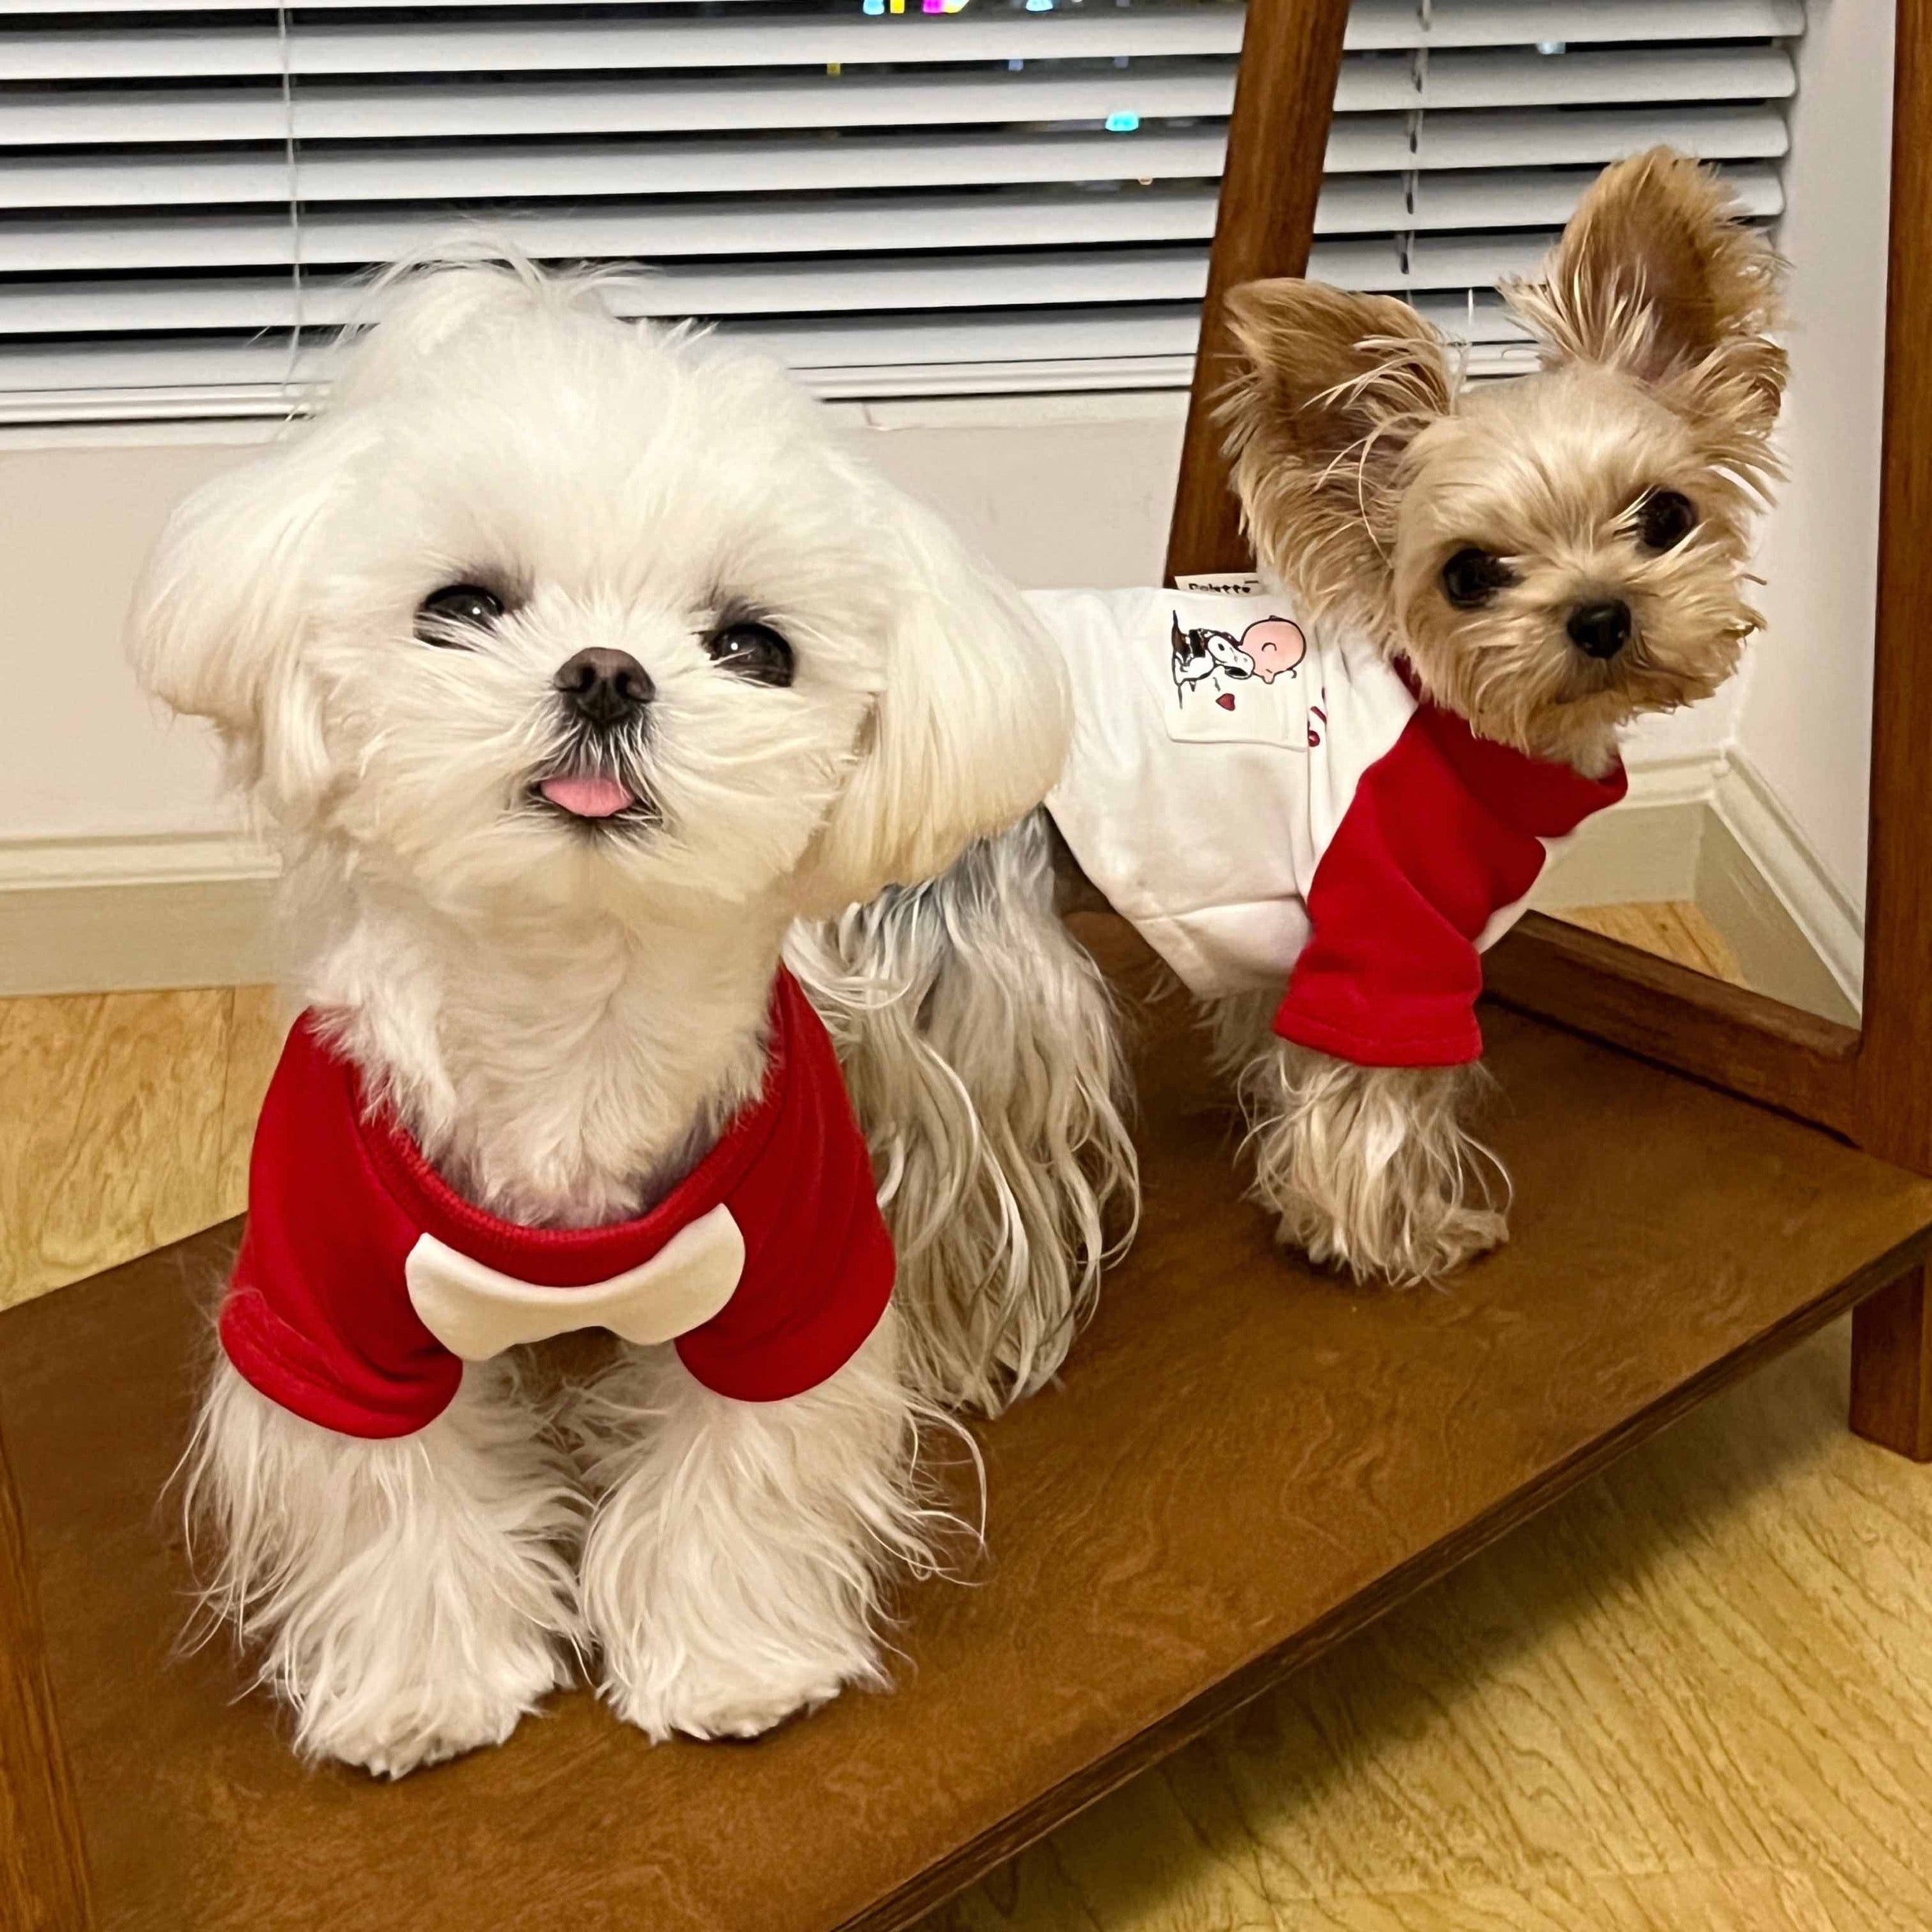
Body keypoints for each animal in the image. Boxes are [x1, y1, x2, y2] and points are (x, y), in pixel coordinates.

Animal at [132, 260, 1073, 1777]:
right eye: (460, 606)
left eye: (751, 646)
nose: (606, 672)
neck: (572, 1017)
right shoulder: (327, 1310)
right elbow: (390, 1495)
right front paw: (423, 1690)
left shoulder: (798, 1274)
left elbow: (742, 1465)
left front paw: (731, 1663)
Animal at [800, 146, 1777, 1313]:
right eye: (1467, 574)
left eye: (1666, 516)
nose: (1599, 615)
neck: (1461, 729)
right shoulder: (1391, 921)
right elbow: (1373, 1101)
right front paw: (1405, 1238)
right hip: (983, 972)